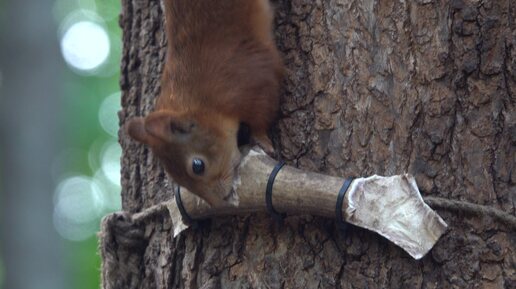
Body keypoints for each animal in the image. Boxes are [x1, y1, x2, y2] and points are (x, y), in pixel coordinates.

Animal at [126, 0, 284, 207]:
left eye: (197, 166)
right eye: (174, 178)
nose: (219, 203)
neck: (202, 101)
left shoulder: (255, 79)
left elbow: (262, 115)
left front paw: (261, 139)